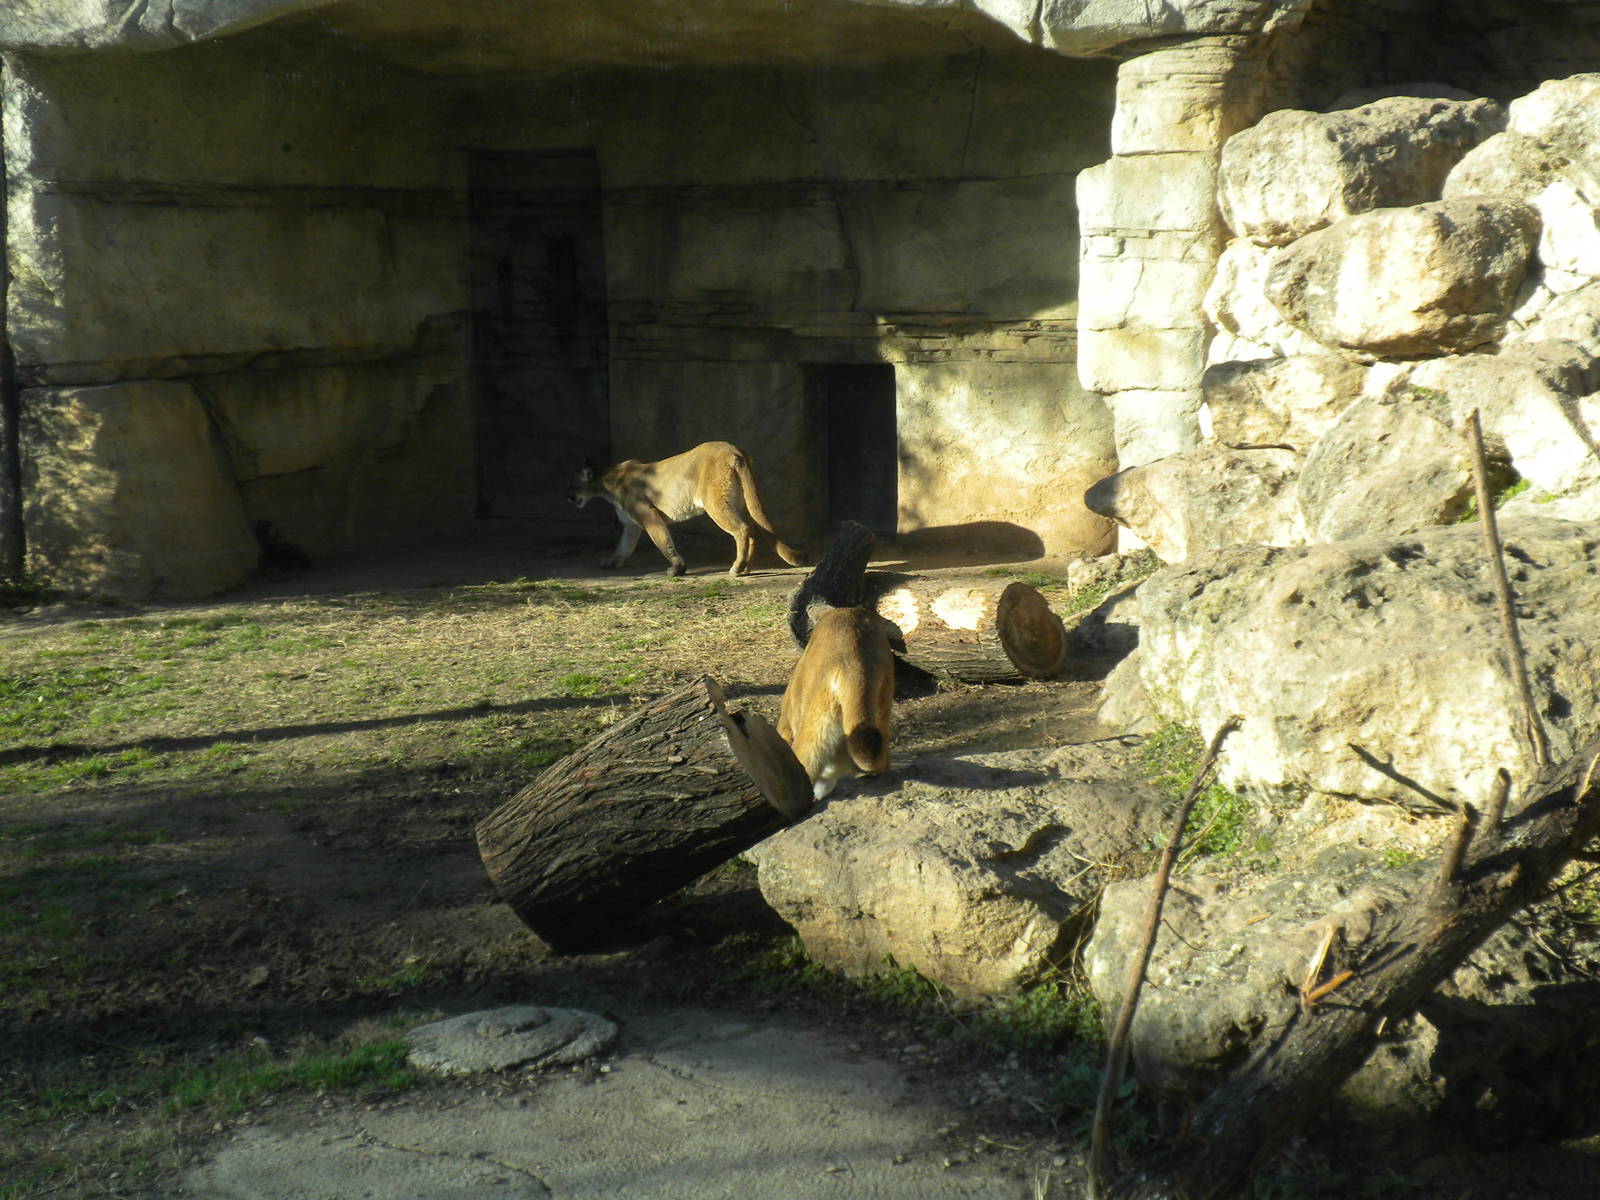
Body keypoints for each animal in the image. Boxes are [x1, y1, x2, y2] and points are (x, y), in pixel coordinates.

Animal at [568, 441, 808, 578]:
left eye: (572, 485)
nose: (568, 497)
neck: (606, 481)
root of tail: (734, 450)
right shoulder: (631, 525)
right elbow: (623, 546)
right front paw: (610, 562)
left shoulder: (648, 514)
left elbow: (663, 541)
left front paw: (677, 568)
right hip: (738, 501)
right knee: (753, 528)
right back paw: (747, 568)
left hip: (715, 502)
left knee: (742, 529)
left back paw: (737, 568)